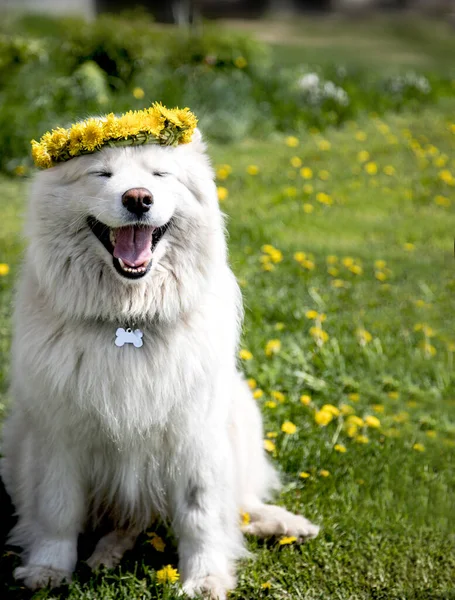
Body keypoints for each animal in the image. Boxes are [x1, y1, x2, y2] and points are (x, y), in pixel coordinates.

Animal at [0, 129, 320, 596]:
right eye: (102, 174)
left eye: (159, 175)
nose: (138, 199)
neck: (130, 319)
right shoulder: (58, 434)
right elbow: (58, 510)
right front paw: (48, 568)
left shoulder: (196, 435)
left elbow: (201, 515)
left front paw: (205, 577)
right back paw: (106, 553)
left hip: (242, 410)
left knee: (239, 503)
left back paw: (282, 524)